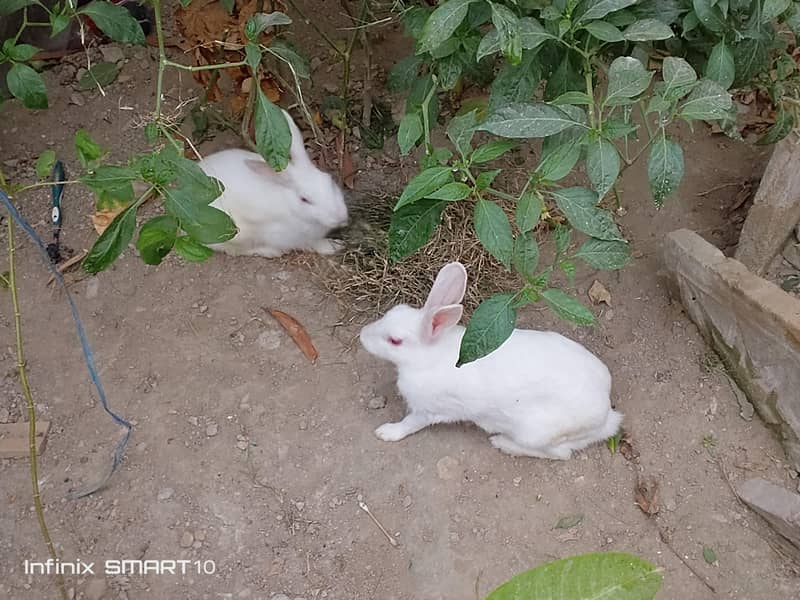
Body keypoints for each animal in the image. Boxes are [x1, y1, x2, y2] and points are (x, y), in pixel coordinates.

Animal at [198, 109, 349, 258]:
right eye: (304, 199)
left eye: (330, 180)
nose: (341, 217)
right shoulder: (293, 238)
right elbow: (315, 244)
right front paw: (334, 246)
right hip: (231, 233)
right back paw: (270, 251)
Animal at [358, 262, 623, 459]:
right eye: (393, 311)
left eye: (395, 341)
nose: (362, 334)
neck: (430, 356)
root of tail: (606, 416)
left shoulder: (428, 410)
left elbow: (409, 424)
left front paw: (387, 432)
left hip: (534, 432)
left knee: (560, 453)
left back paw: (501, 443)